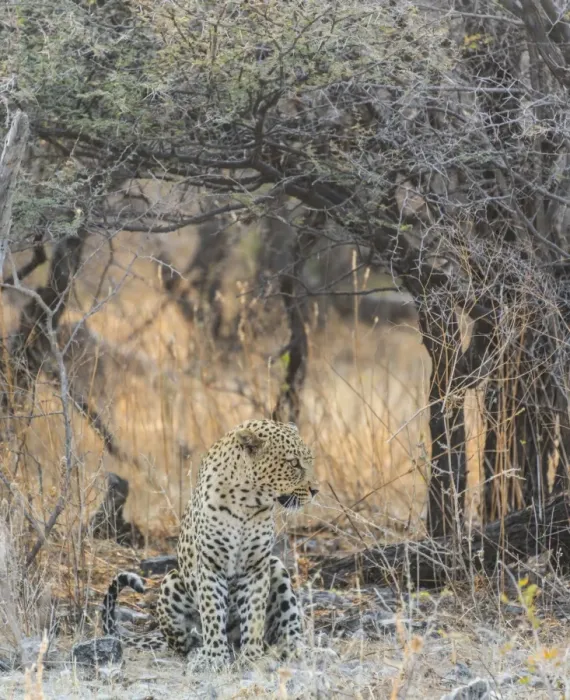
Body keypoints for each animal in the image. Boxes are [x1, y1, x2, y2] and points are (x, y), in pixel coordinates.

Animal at [100, 419, 318, 668]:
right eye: (293, 463)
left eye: (309, 461)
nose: (316, 490)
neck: (249, 502)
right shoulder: (210, 565)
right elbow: (212, 612)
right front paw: (214, 657)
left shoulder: (256, 568)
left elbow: (254, 614)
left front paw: (252, 657)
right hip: (171, 582)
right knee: (184, 642)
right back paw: (199, 652)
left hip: (277, 566)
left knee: (288, 626)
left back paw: (296, 650)